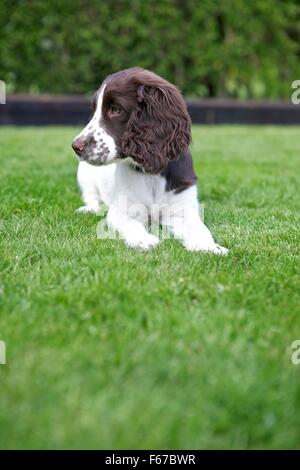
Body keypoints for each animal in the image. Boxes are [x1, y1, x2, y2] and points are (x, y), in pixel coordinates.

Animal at [72, 67, 227, 253]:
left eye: (116, 110)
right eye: (94, 110)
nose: (76, 146)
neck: (151, 173)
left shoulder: (182, 208)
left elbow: (199, 228)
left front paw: (209, 246)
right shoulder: (122, 210)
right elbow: (131, 224)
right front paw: (143, 240)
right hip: (85, 173)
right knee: (91, 196)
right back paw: (89, 209)